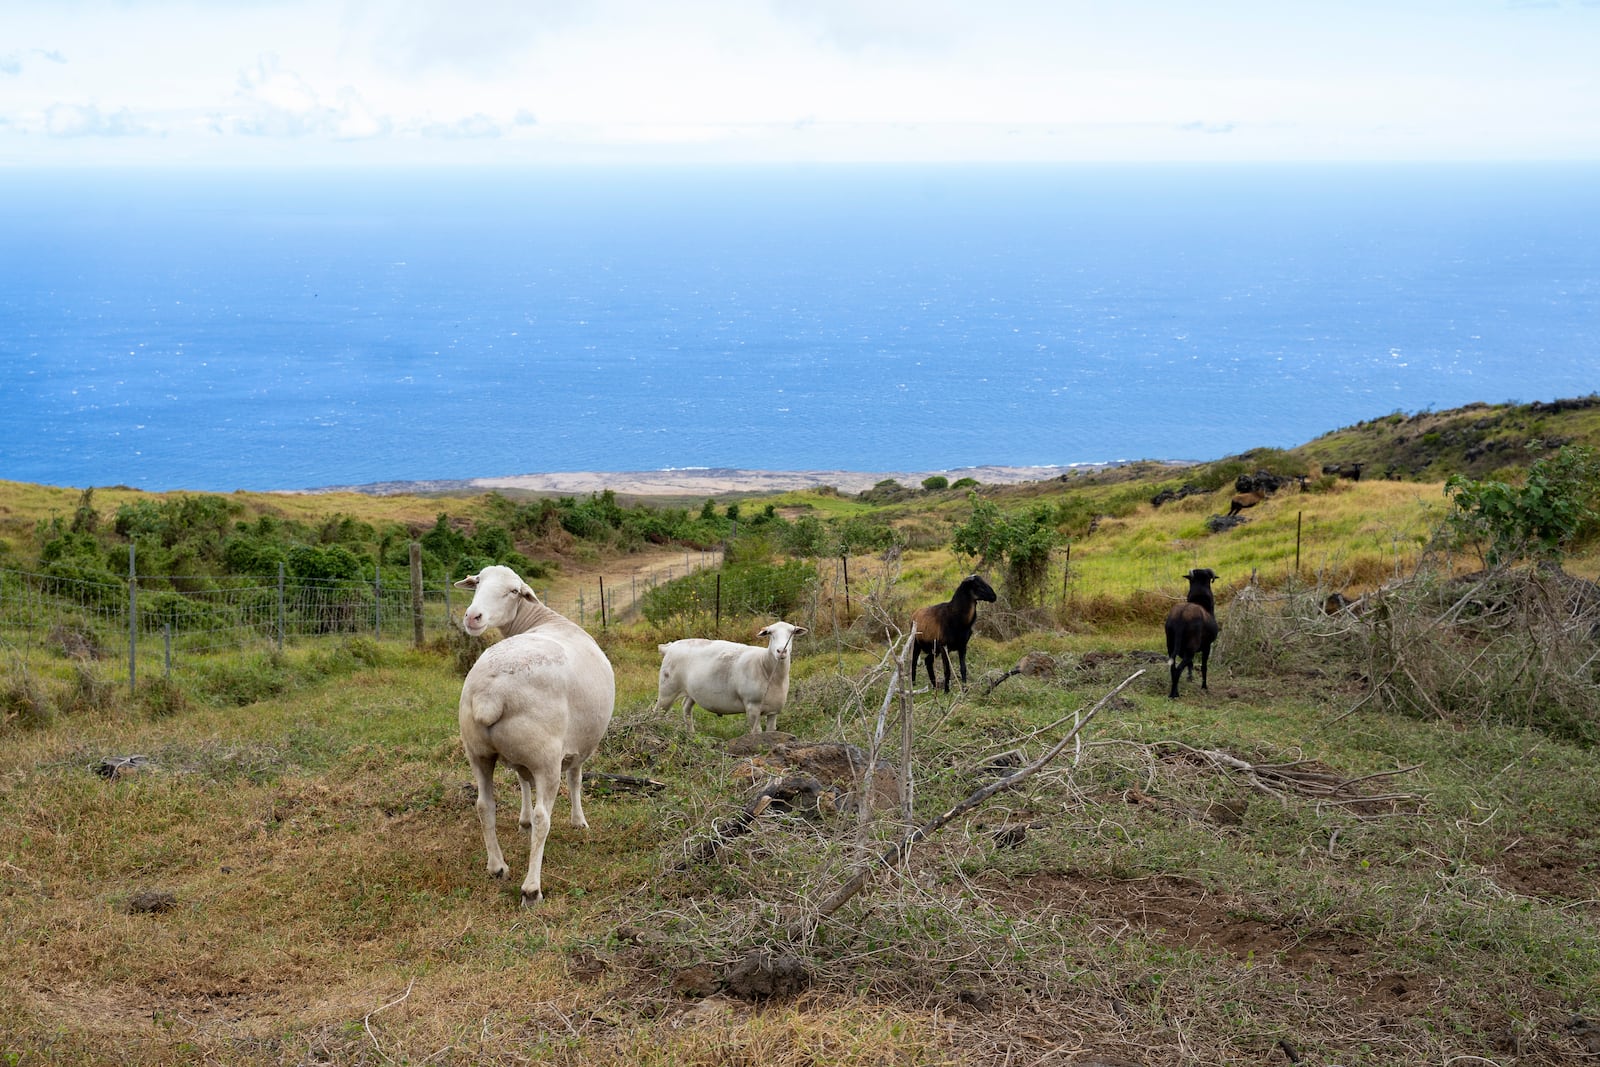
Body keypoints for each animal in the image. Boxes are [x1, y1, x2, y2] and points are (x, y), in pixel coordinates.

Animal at [464, 563, 617, 908]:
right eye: (477, 583)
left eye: (512, 591)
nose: (473, 617)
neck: (543, 619)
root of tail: (490, 693)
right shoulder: (579, 746)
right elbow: (576, 779)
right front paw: (579, 821)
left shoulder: (522, 758)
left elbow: (521, 780)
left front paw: (521, 821)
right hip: (546, 757)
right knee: (543, 817)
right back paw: (531, 888)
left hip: (478, 752)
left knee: (484, 805)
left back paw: (497, 867)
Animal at [649, 620, 806, 739]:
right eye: (770, 633)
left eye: (792, 633)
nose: (781, 651)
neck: (764, 666)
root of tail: (670, 647)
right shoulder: (752, 707)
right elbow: (757, 733)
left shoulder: (773, 711)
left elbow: (770, 732)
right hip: (668, 689)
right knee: (657, 712)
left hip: (692, 691)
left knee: (686, 708)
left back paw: (691, 734)